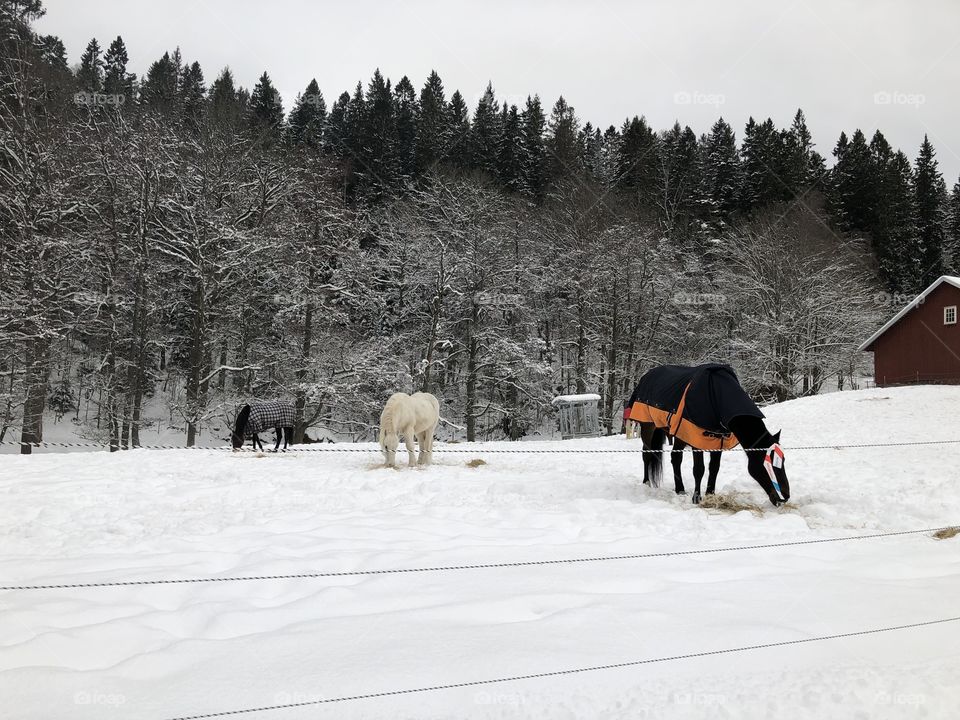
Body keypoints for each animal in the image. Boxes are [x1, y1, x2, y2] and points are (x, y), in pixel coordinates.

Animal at [632, 366, 788, 506]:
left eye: (783, 461)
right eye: (767, 464)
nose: (785, 496)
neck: (716, 397)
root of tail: (647, 375)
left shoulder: (718, 440)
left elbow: (714, 468)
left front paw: (710, 494)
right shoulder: (696, 440)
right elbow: (699, 469)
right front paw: (697, 498)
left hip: (680, 434)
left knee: (675, 458)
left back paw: (680, 489)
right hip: (648, 426)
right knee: (647, 454)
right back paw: (646, 483)